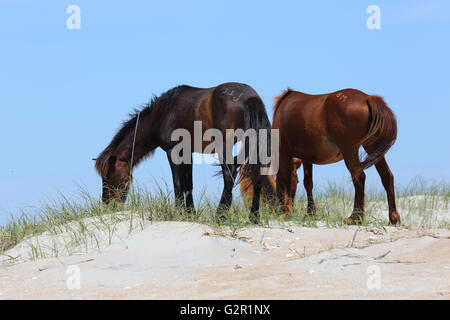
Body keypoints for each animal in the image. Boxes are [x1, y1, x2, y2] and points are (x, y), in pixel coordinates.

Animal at [95, 82, 270, 219]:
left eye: (107, 176)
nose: (106, 205)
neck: (160, 115)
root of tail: (249, 97)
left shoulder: (173, 151)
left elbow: (178, 183)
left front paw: (178, 213)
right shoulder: (187, 153)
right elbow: (188, 183)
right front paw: (191, 213)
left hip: (224, 146)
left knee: (229, 175)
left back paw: (221, 215)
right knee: (257, 176)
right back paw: (254, 218)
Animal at [266, 87, 400, 225]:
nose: (273, 210)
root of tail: (367, 98)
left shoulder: (283, 152)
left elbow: (284, 178)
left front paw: (286, 213)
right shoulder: (307, 157)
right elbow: (308, 183)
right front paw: (310, 213)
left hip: (350, 150)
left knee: (359, 177)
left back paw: (355, 217)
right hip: (372, 147)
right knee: (387, 176)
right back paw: (393, 218)